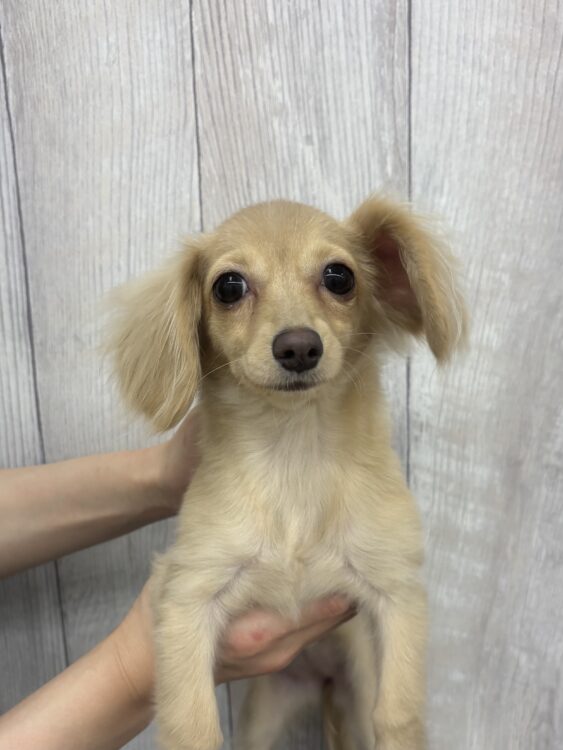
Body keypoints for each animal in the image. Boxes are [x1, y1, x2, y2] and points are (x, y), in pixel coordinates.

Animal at [108, 194, 467, 750]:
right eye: (228, 286)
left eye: (339, 276)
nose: (298, 346)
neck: (293, 454)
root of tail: (319, 680)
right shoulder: (188, 592)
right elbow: (193, 725)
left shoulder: (396, 589)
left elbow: (399, 714)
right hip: (265, 714)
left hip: (355, 685)